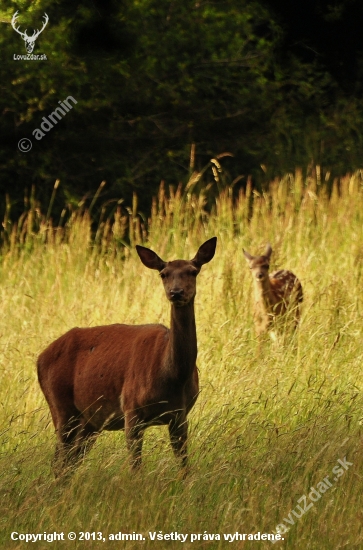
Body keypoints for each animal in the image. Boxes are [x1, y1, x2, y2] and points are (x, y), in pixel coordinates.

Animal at [38, 239, 218, 476]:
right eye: (163, 274)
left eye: (193, 271)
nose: (176, 292)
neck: (173, 377)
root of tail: (39, 359)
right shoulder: (131, 409)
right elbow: (136, 468)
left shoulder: (180, 415)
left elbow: (184, 466)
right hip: (60, 406)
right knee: (59, 462)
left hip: (88, 421)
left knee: (69, 463)